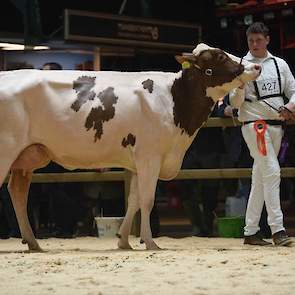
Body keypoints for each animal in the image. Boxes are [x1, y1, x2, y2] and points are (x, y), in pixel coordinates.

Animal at [0, 44, 262, 252]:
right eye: (219, 56)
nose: (256, 67)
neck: (174, 99)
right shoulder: (149, 156)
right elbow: (147, 199)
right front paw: (150, 242)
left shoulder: (138, 161)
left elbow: (134, 200)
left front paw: (123, 240)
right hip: (7, 150)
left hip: (27, 157)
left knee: (18, 193)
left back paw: (33, 242)